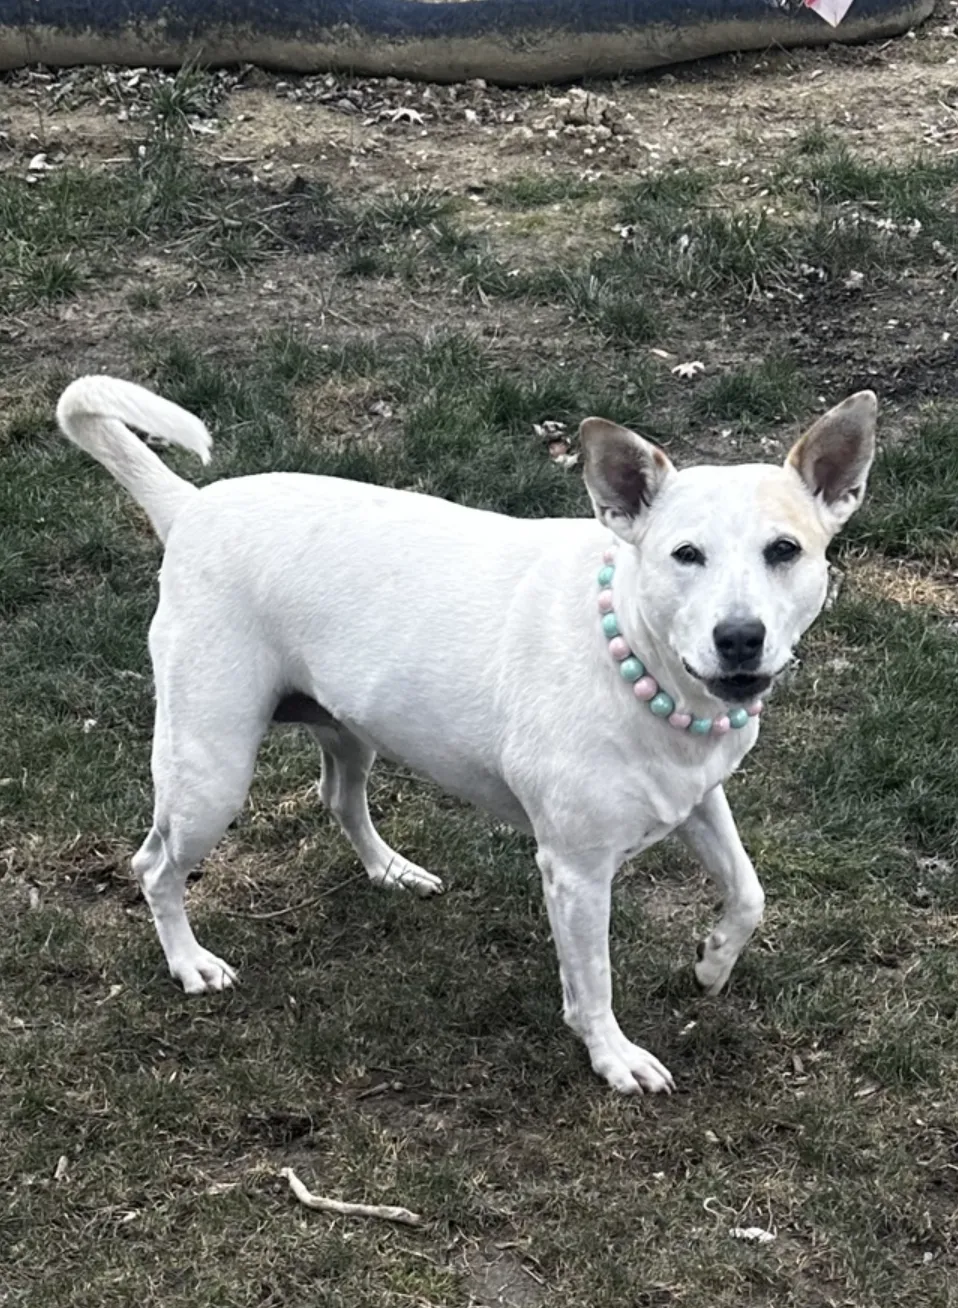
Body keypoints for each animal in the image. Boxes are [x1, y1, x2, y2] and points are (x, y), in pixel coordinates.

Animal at [54, 376, 874, 1093]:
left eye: (784, 550)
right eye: (685, 554)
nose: (740, 639)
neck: (644, 665)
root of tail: (191, 507)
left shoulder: (699, 798)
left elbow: (750, 893)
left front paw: (711, 963)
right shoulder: (576, 872)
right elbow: (594, 982)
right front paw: (614, 1058)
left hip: (349, 727)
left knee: (338, 798)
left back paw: (391, 870)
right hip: (211, 773)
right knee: (154, 865)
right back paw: (190, 962)